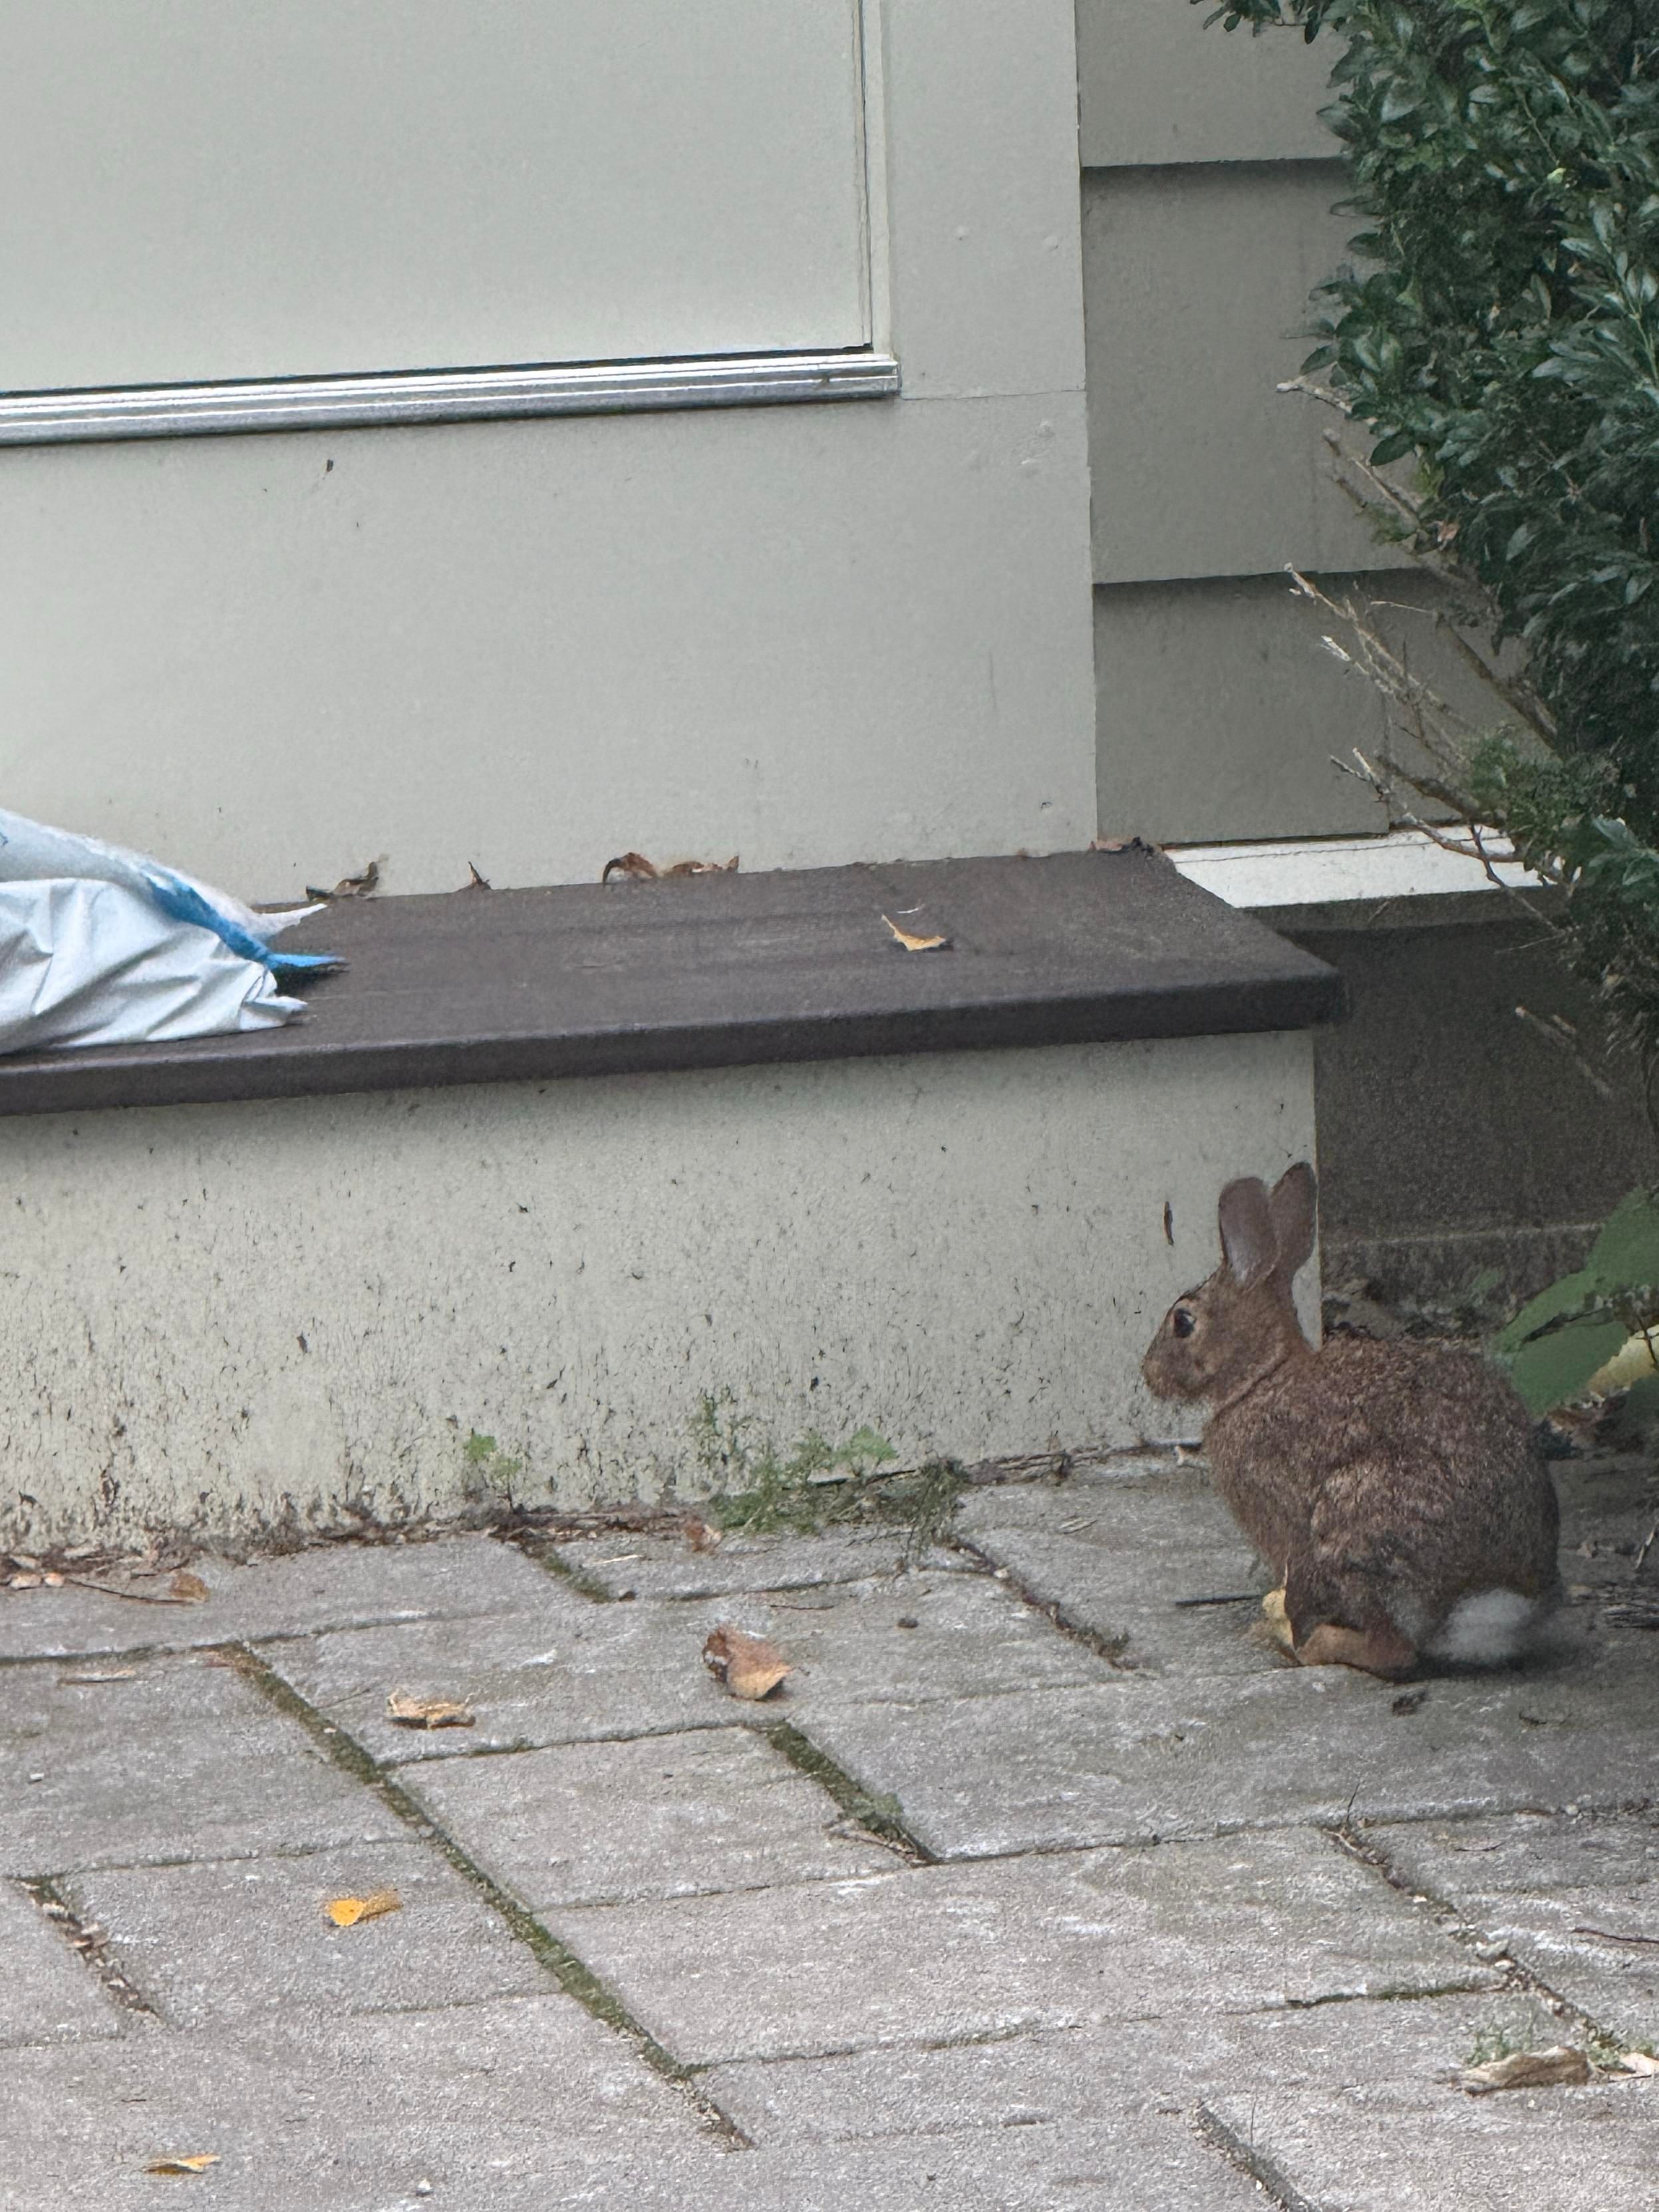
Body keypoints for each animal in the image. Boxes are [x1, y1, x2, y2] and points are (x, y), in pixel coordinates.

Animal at [1141, 1162, 1560, 1679]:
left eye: (1183, 1322)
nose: (1149, 1373)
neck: (1262, 1377)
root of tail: (1486, 1595)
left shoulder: (1285, 1523)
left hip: (1357, 1530)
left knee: (1392, 1650)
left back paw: (1304, 1644)